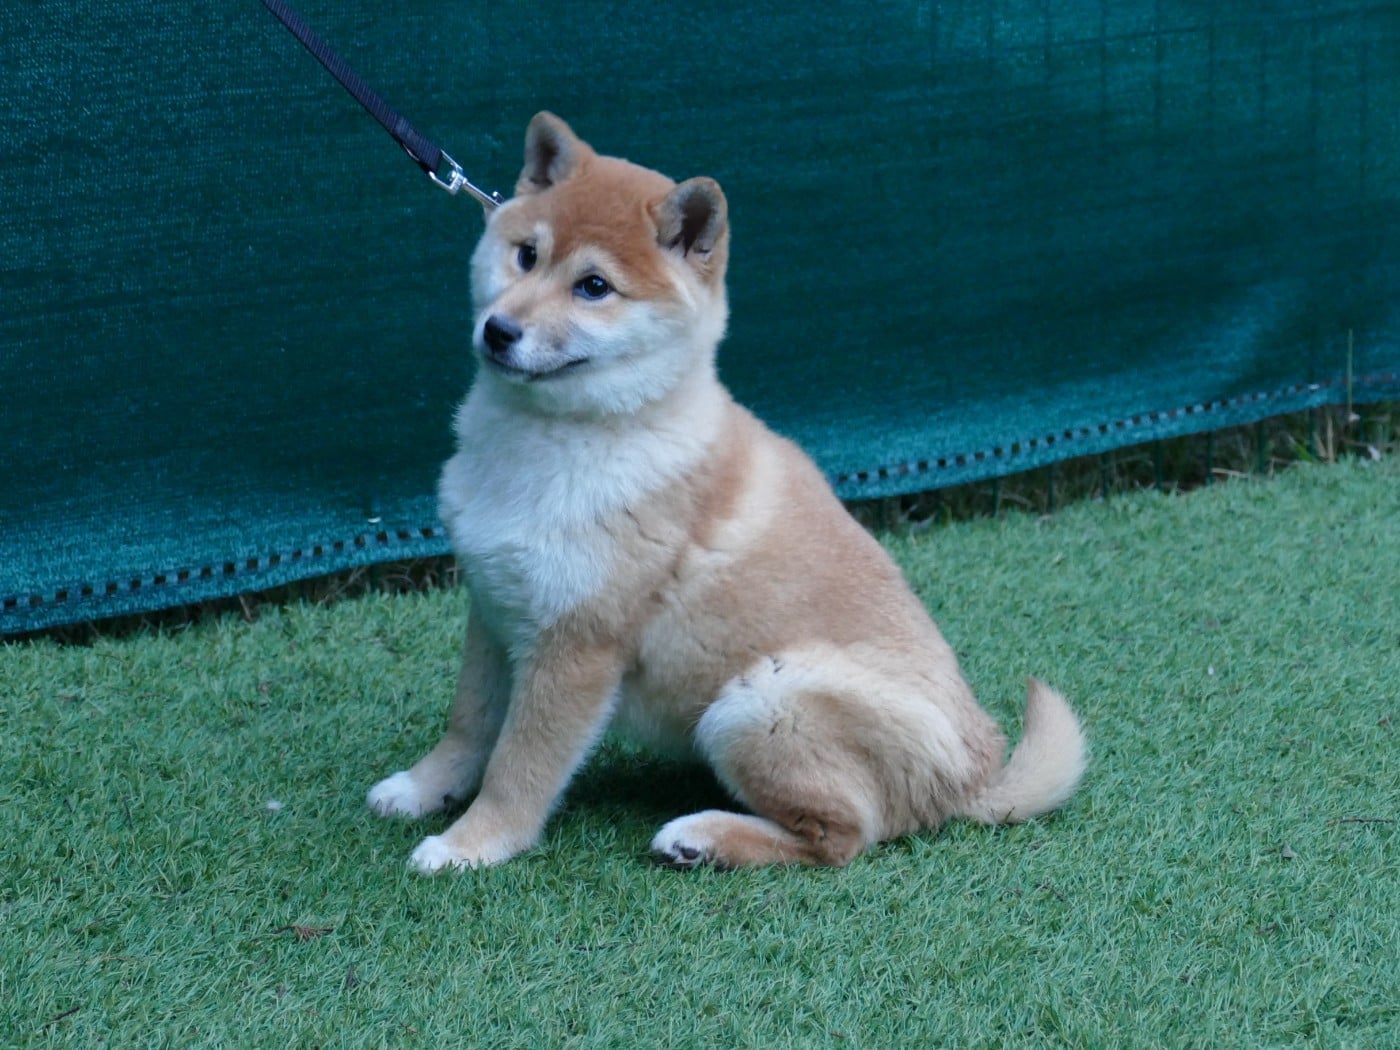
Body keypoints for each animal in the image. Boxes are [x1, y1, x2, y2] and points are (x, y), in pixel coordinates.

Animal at [366, 113, 1087, 872]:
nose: (499, 331)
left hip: (759, 701)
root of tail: (976, 777)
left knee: (840, 839)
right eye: (526, 256)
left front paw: (471, 844)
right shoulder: (495, 611)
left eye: (594, 286)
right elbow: (470, 725)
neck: (552, 442)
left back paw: (702, 837)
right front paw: (424, 788)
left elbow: (518, 765)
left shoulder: (577, 646)